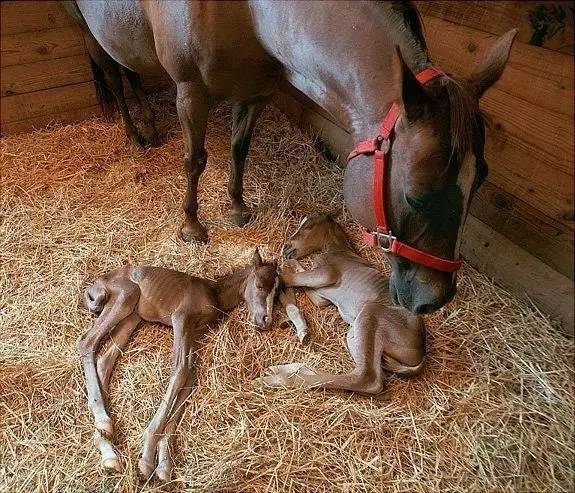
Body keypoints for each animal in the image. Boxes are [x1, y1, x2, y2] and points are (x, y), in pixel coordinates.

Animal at [66, 0, 516, 316]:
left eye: (480, 179)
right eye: (416, 197)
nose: (434, 300)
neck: (246, 12)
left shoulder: (255, 92)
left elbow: (239, 149)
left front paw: (236, 209)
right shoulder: (190, 93)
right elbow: (195, 160)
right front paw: (192, 227)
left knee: (129, 72)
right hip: (88, 32)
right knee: (113, 77)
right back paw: (133, 134)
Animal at [78, 248, 280, 478]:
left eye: (277, 293)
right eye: (260, 285)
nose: (266, 321)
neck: (214, 293)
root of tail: (96, 282)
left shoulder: (195, 332)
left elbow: (188, 378)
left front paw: (164, 466)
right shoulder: (181, 318)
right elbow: (180, 371)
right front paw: (146, 460)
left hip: (132, 317)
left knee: (104, 360)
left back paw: (107, 446)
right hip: (125, 295)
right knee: (87, 342)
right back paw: (104, 424)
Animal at [258, 217, 426, 394]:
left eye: (308, 226)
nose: (286, 246)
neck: (337, 250)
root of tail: (422, 350)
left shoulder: (327, 273)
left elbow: (289, 277)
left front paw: (277, 280)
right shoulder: (321, 295)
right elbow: (306, 283)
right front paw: (287, 279)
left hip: (370, 312)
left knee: (367, 379)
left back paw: (276, 379)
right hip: (355, 334)